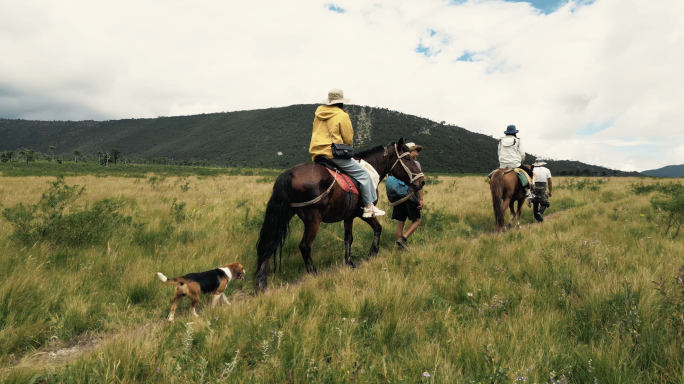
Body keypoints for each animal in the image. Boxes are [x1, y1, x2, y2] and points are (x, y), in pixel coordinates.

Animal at [255, 138, 422, 292]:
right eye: (408, 158)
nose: (422, 182)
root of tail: (290, 172)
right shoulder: (363, 213)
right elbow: (378, 228)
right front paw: (372, 254)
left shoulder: (349, 216)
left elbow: (348, 238)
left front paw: (349, 263)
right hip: (313, 219)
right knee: (304, 246)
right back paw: (314, 273)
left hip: (284, 215)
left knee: (270, 243)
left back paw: (261, 281)